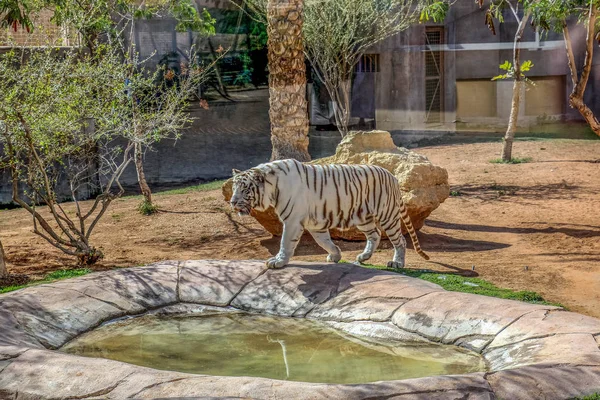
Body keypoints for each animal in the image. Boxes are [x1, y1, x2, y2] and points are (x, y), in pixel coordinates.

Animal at [227, 159, 428, 268]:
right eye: (234, 187)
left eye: (244, 189)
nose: (233, 202)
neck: (272, 189)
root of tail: (392, 175)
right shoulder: (314, 224)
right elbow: (324, 242)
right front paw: (335, 255)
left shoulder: (292, 221)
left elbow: (285, 242)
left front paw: (278, 261)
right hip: (364, 217)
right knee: (375, 235)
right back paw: (363, 257)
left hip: (387, 215)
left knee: (400, 240)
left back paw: (397, 263)